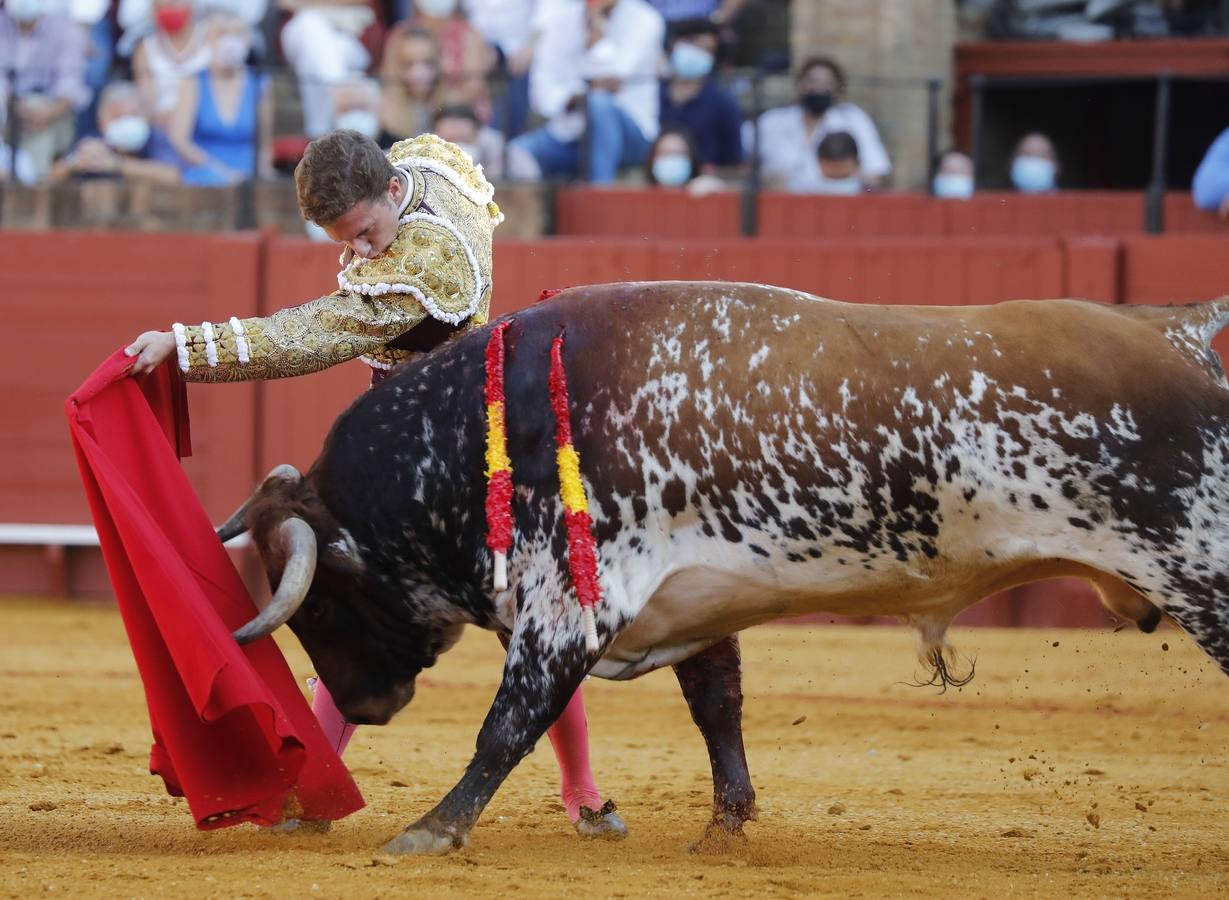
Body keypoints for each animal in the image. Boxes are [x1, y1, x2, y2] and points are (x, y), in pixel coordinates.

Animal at [221, 285, 1229, 855]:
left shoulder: (569, 608)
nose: (361, 706)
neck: (487, 427)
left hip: (1201, 573)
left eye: (324, 606)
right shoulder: (690, 598)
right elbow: (717, 708)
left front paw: (429, 829)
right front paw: (725, 827)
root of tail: (1180, 332)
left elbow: (507, 724)